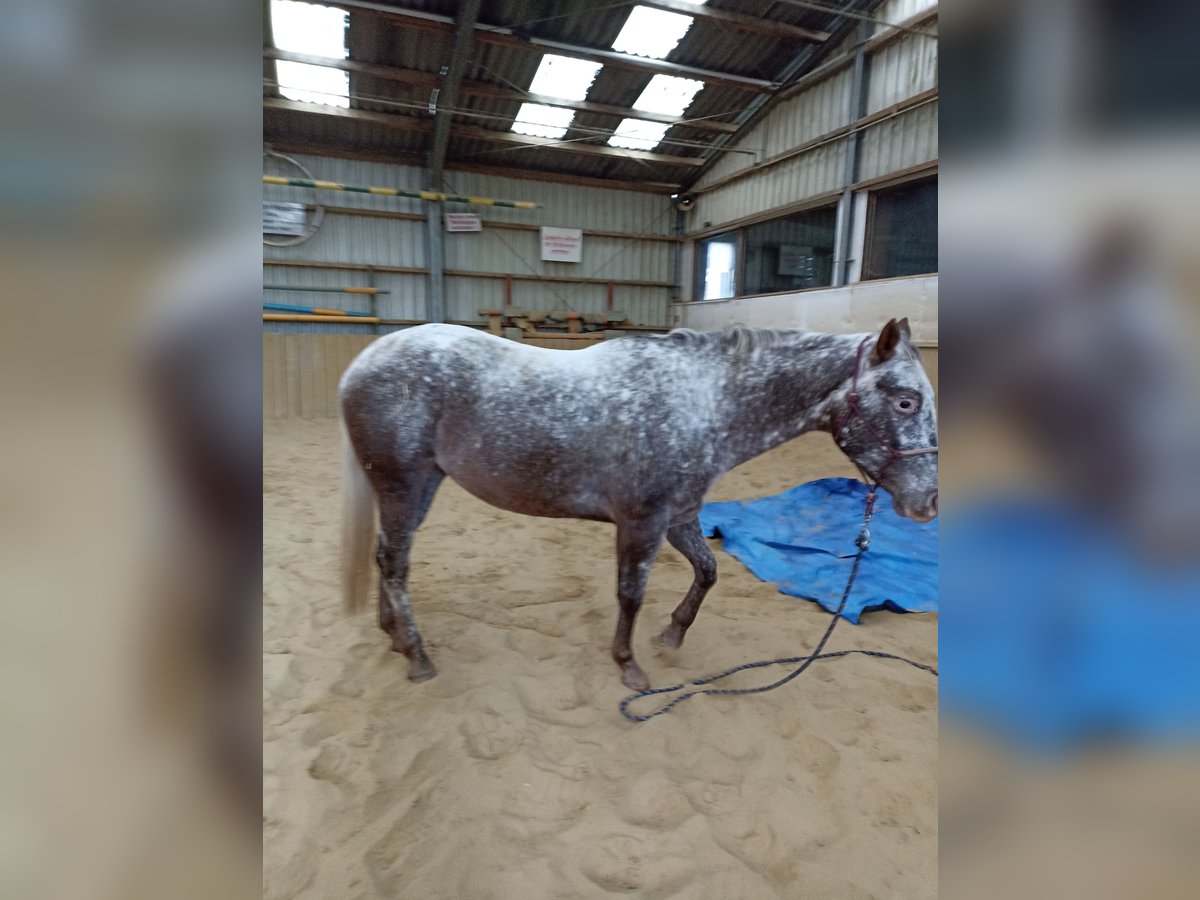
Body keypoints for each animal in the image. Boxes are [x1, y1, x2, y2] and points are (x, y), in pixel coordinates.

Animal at [338, 316, 936, 691]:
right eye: (906, 401)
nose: (927, 503)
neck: (702, 402)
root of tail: (361, 364)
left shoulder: (679, 519)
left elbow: (709, 571)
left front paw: (672, 633)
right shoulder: (642, 522)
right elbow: (631, 594)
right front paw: (629, 666)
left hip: (418, 486)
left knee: (386, 559)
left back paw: (394, 636)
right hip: (403, 484)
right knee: (395, 563)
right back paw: (417, 657)